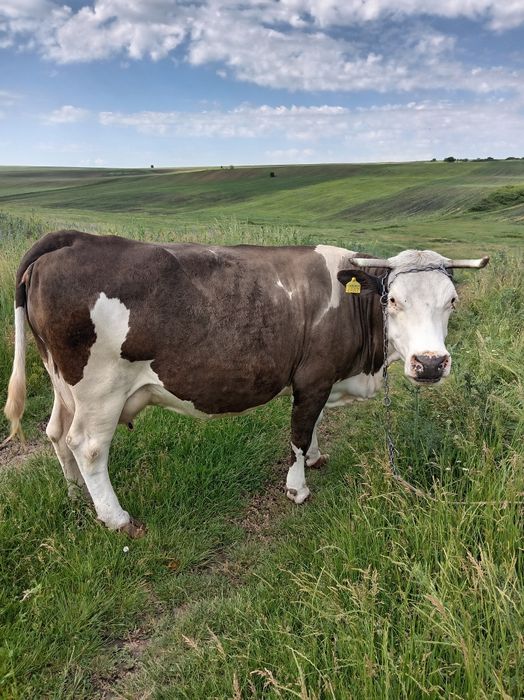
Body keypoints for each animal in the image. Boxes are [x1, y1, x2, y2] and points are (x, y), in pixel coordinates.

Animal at [3, 230, 488, 537]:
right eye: (393, 300)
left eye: (452, 301)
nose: (430, 363)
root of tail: (76, 239)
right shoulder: (313, 376)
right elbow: (298, 432)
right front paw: (298, 487)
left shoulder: (322, 381)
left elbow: (312, 428)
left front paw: (316, 458)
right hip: (99, 389)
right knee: (87, 445)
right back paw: (116, 518)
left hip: (63, 383)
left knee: (56, 434)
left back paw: (74, 496)